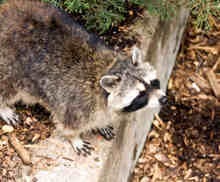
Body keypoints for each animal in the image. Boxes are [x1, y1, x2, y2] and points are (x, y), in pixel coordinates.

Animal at [0, 0, 165, 156]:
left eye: (153, 82)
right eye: (140, 94)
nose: (163, 99)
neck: (109, 68)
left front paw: (100, 124)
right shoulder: (79, 105)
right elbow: (69, 125)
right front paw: (74, 138)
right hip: (9, 65)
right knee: (7, 88)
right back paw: (4, 107)